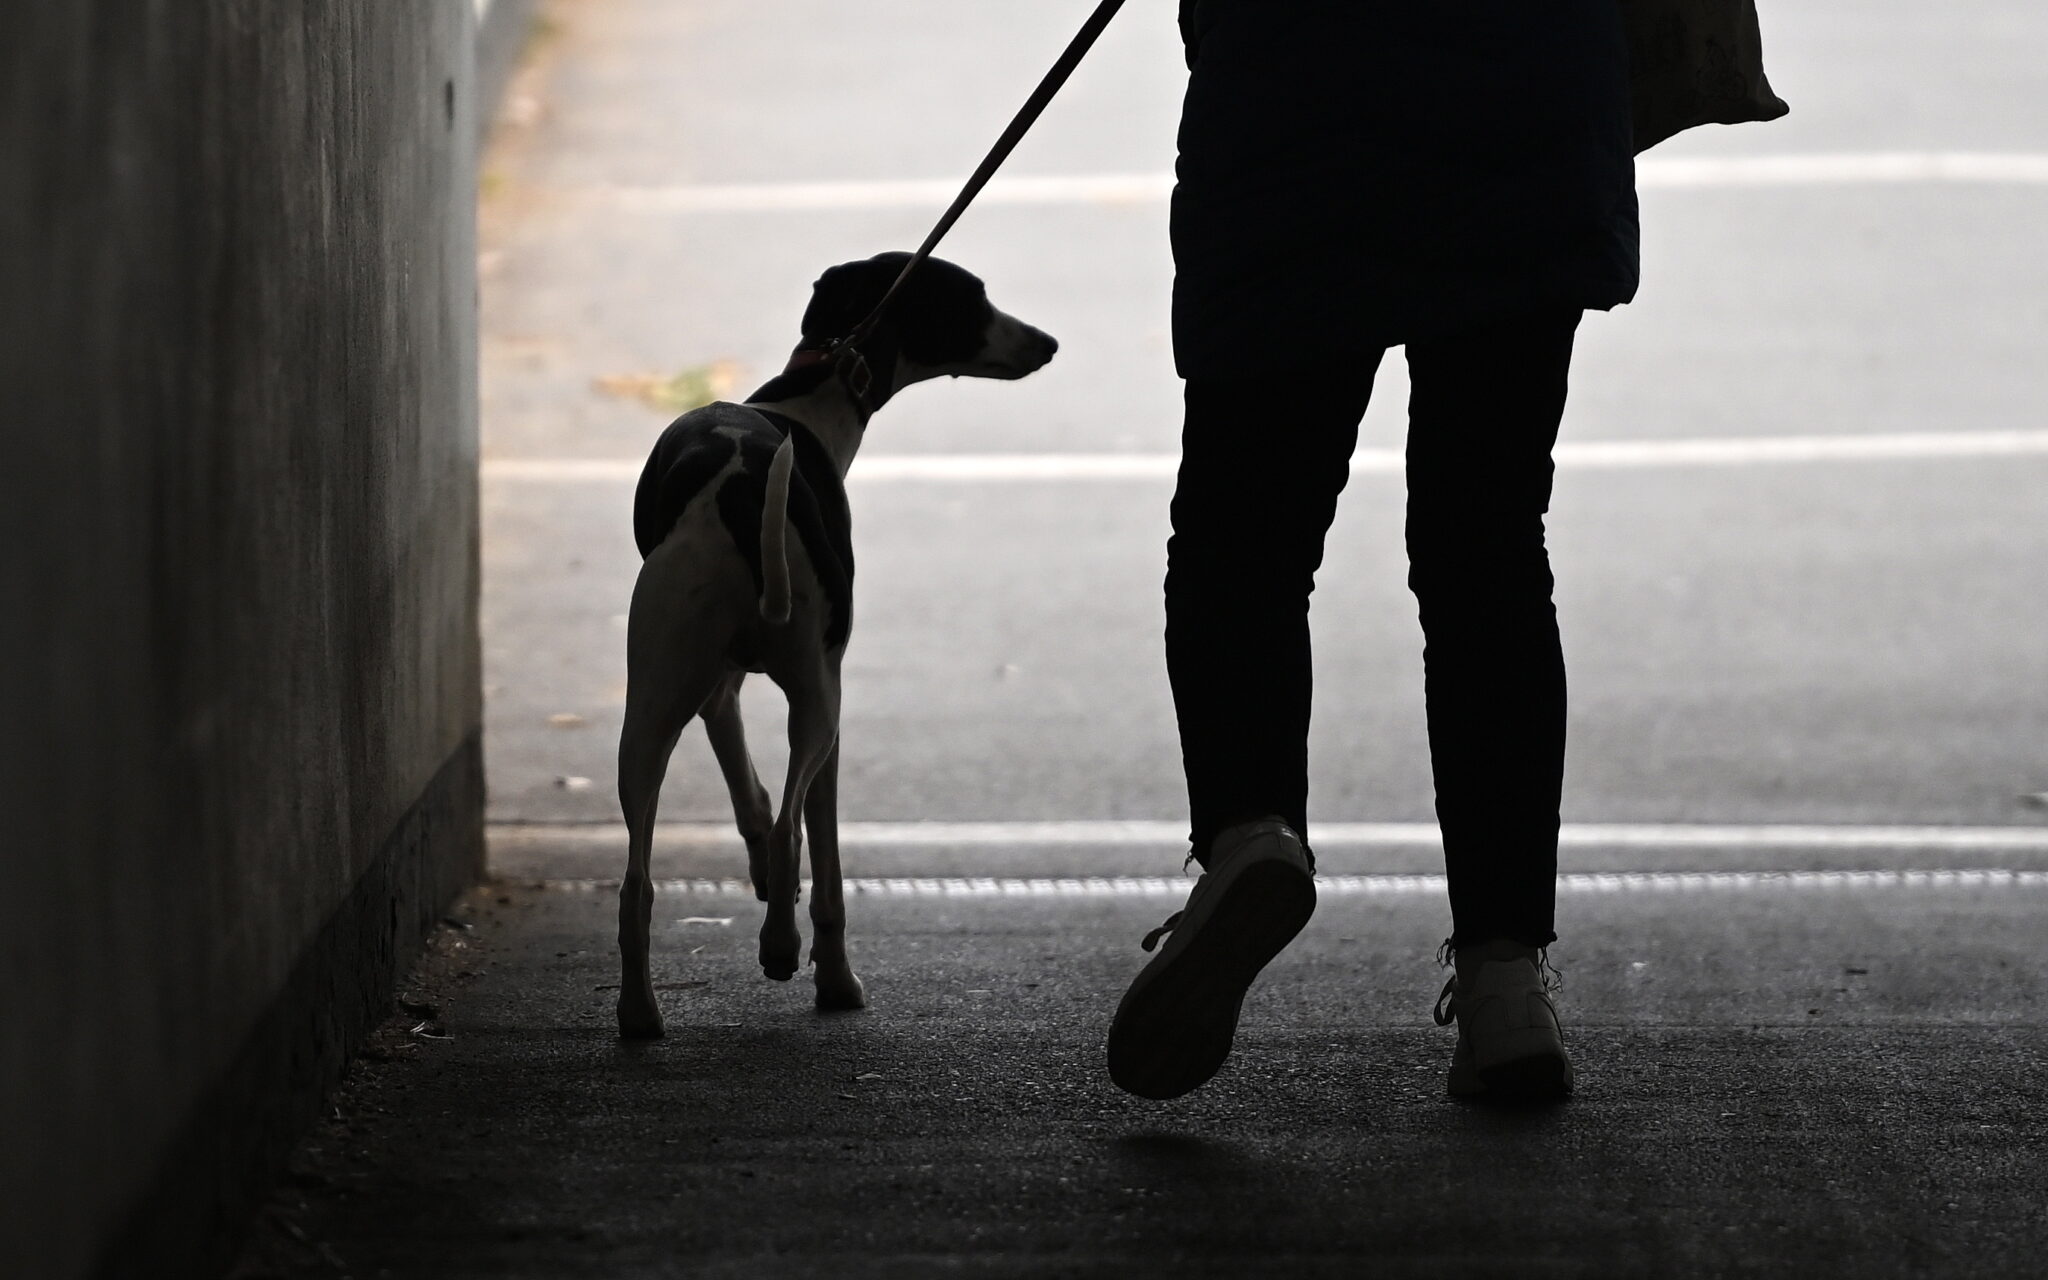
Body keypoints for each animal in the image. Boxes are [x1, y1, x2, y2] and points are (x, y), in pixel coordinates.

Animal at [610, 251, 1056, 1040]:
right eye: (974, 296)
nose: (1048, 343)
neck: (809, 402)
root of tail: (740, 491)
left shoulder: (719, 691)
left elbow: (750, 795)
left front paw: (760, 873)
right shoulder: (831, 712)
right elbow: (822, 860)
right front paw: (837, 980)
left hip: (650, 711)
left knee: (638, 882)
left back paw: (639, 1012)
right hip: (817, 703)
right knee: (794, 834)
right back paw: (781, 949)